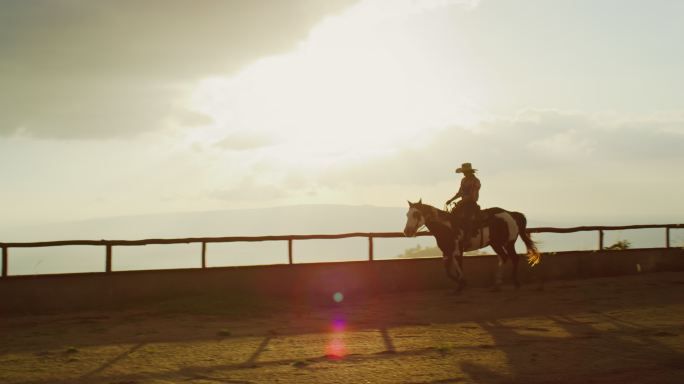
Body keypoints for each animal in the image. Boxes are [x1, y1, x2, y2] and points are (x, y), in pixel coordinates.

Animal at [400, 198, 540, 292]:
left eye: (416, 214)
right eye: (407, 214)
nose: (407, 232)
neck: (447, 226)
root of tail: (511, 214)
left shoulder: (456, 250)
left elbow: (457, 266)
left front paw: (462, 284)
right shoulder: (447, 251)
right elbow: (449, 270)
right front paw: (461, 284)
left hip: (508, 243)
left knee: (514, 258)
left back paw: (516, 283)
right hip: (496, 244)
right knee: (504, 257)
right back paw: (497, 284)